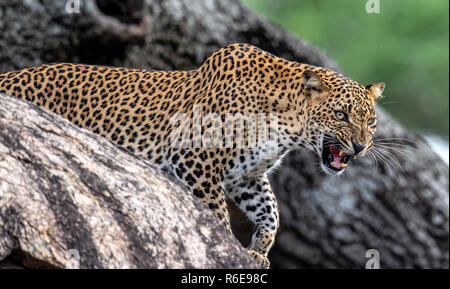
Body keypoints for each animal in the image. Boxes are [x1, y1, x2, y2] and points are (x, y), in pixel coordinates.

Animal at [0, 42, 384, 268]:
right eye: (341, 115)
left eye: (371, 121)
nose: (360, 146)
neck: (287, 126)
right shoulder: (195, 157)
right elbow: (215, 214)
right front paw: (228, 250)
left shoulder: (246, 175)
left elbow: (271, 212)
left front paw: (258, 251)